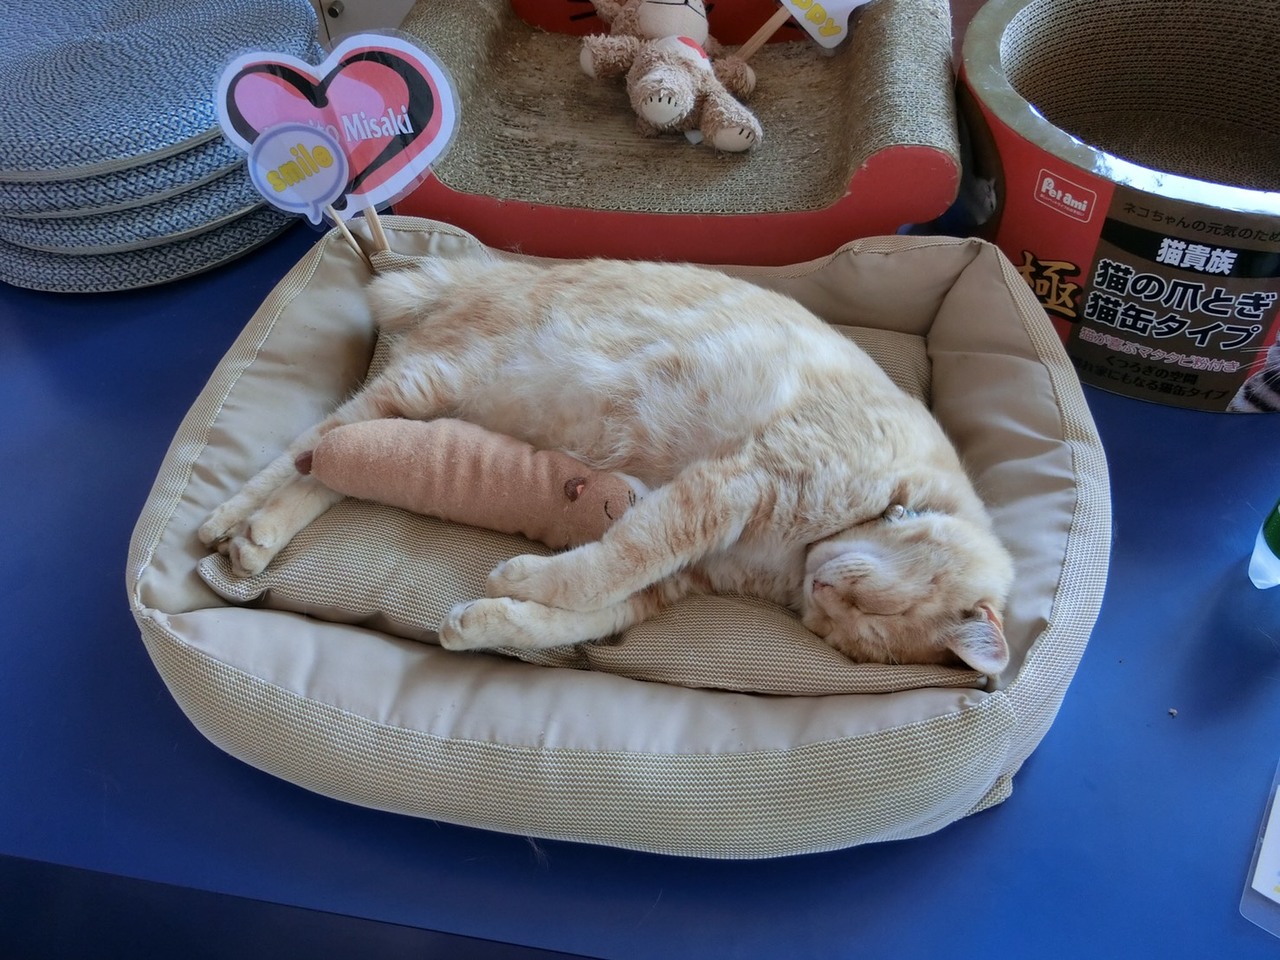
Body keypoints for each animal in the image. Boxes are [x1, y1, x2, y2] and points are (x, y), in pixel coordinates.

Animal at [200, 254, 1015, 673]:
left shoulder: (681, 575)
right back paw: (236, 525)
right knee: (308, 447)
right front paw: (520, 577)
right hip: (431, 382)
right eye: (866, 604)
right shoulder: (728, 489)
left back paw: (250, 537)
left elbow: (580, 613)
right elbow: (609, 562)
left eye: (845, 628)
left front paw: (488, 618)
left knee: (331, 462)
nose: (823, 586)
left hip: (420, 412)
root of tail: (482, 269)